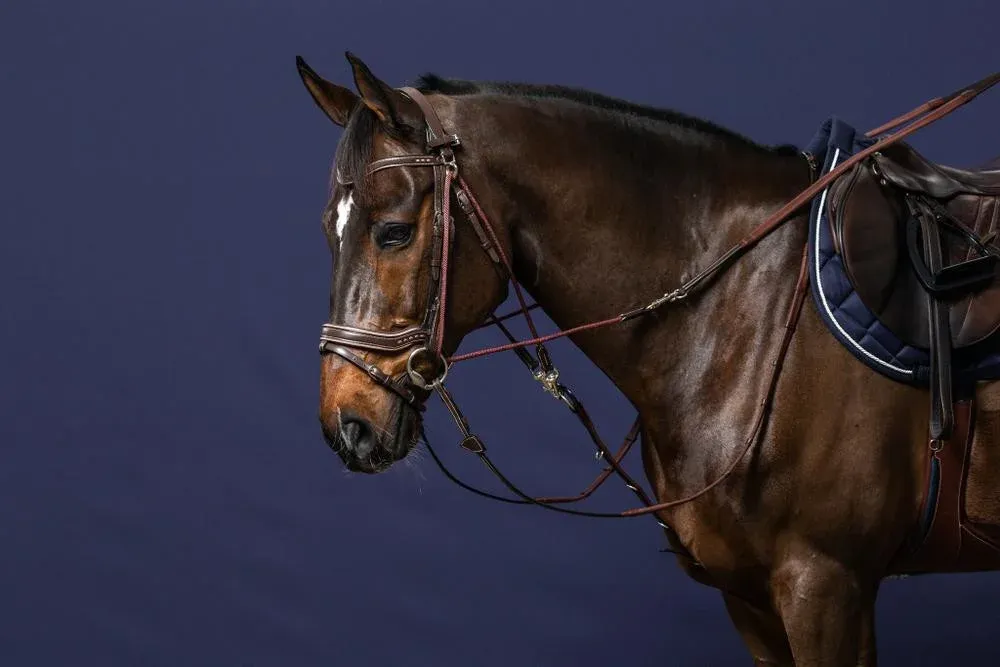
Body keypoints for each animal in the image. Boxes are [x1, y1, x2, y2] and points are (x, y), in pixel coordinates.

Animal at [294, 51, 1000, 665]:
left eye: (394, 232)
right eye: (330, 229)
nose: (347, 425)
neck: (747, 307)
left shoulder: (828, 587)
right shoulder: (751, 598)